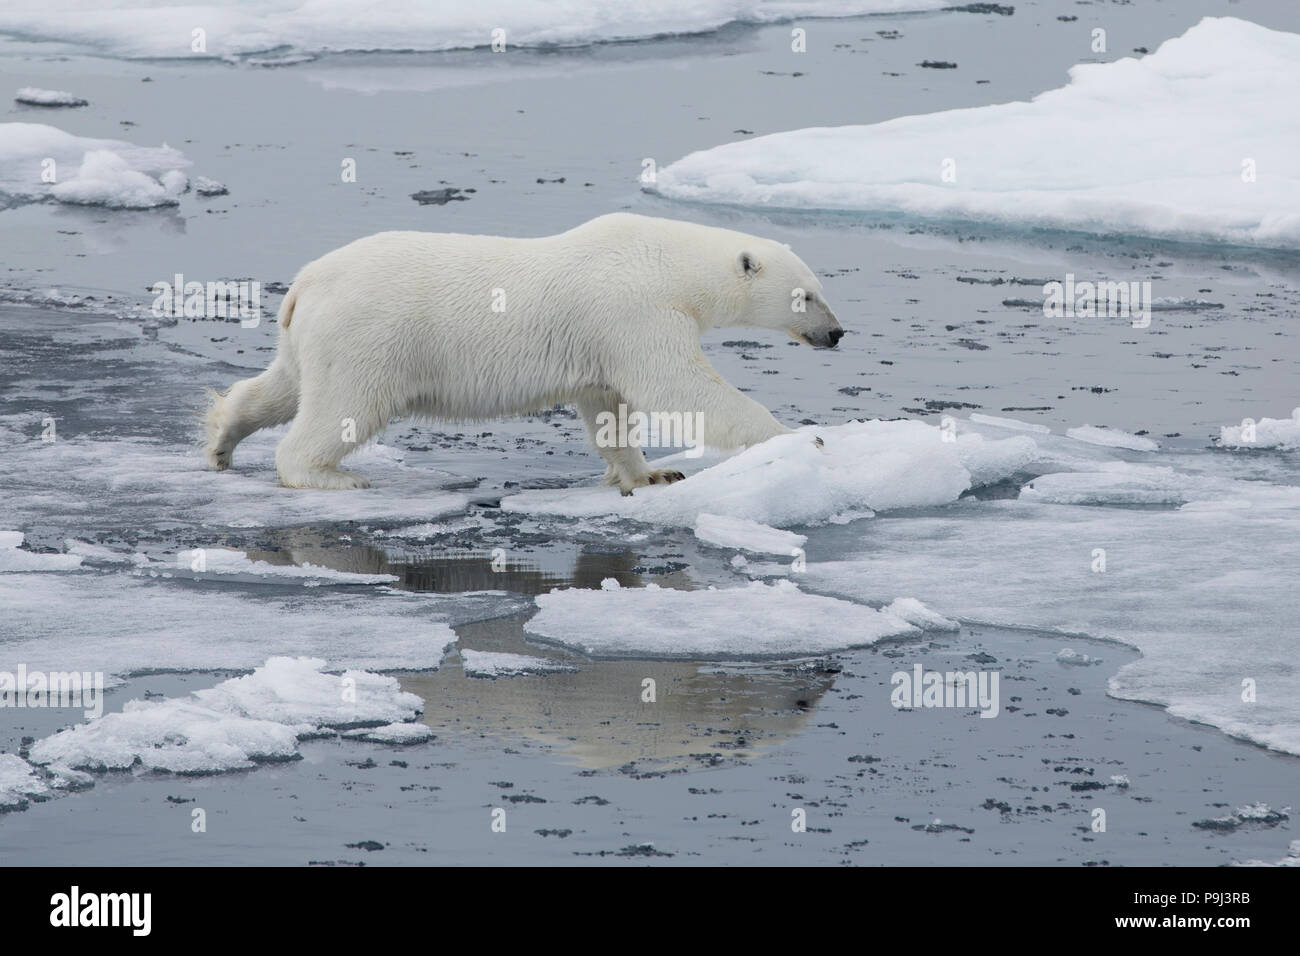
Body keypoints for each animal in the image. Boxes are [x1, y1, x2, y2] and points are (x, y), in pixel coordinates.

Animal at [202, 214, 842, 494]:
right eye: (806, 295)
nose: (836, 334)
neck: (665, 261)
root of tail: (305, 281)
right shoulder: (636, 311)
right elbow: (679, 387)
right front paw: (800, 438)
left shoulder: (604, 339)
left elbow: (609, 406)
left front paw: (652, 472)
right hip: (370, 336)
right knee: (345, 406)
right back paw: (333, 477)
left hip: (311, 335)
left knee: (284, 386)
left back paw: (222, 439)